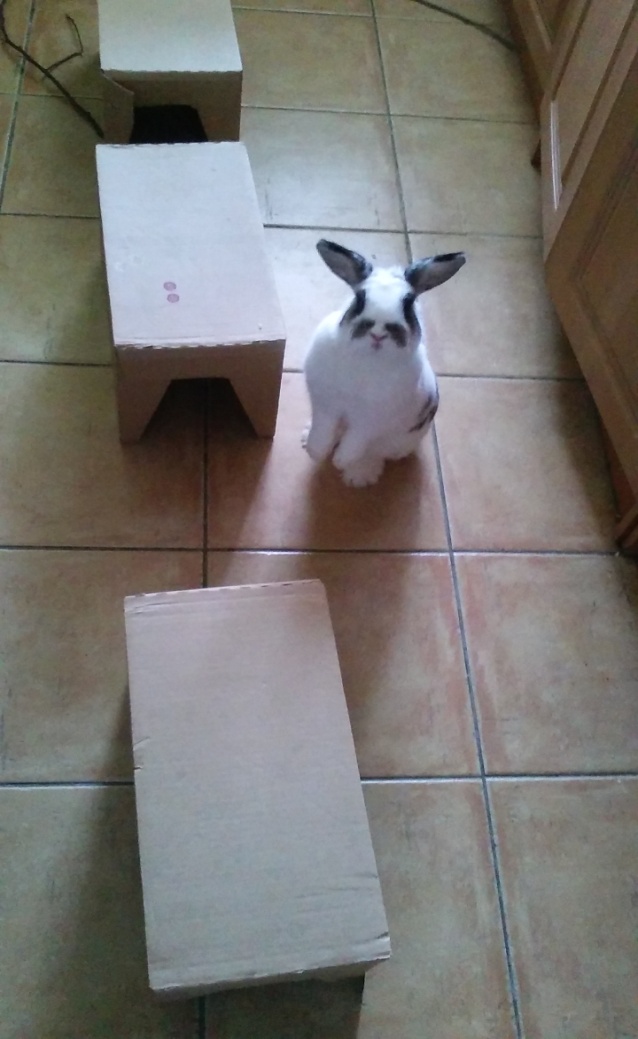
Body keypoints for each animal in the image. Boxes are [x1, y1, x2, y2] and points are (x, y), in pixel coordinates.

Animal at [302, 239, 466, 487]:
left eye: (408, 304)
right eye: (360, 299)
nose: (378, 333)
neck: (368, 360)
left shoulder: (371, 420)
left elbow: (356, 441)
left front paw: (340, 460)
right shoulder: (325, 405)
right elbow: (322, 429)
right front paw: (314, 451)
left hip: (395, 442)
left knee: (373, 452)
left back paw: (359, 475)